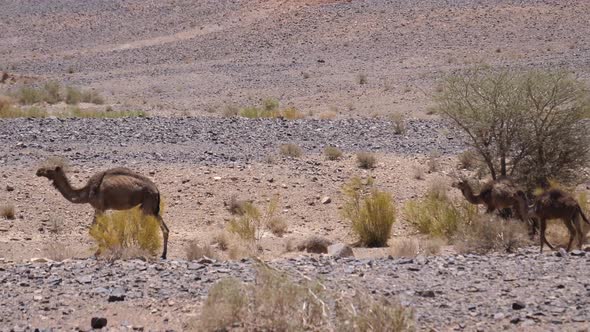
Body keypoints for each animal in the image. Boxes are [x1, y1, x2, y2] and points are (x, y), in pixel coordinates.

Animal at [36, 166, 169, 260]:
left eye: (49, 170)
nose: (38, 171)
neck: (86, 193)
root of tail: (156, 189)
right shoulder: (101, 209)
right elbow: (100, 230)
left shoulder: (99, 207)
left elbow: (95, 230)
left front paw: (101, 252)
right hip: (152, 208)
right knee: (164, 228)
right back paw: (163, 255)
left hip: (147, 205)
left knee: (144, 228)